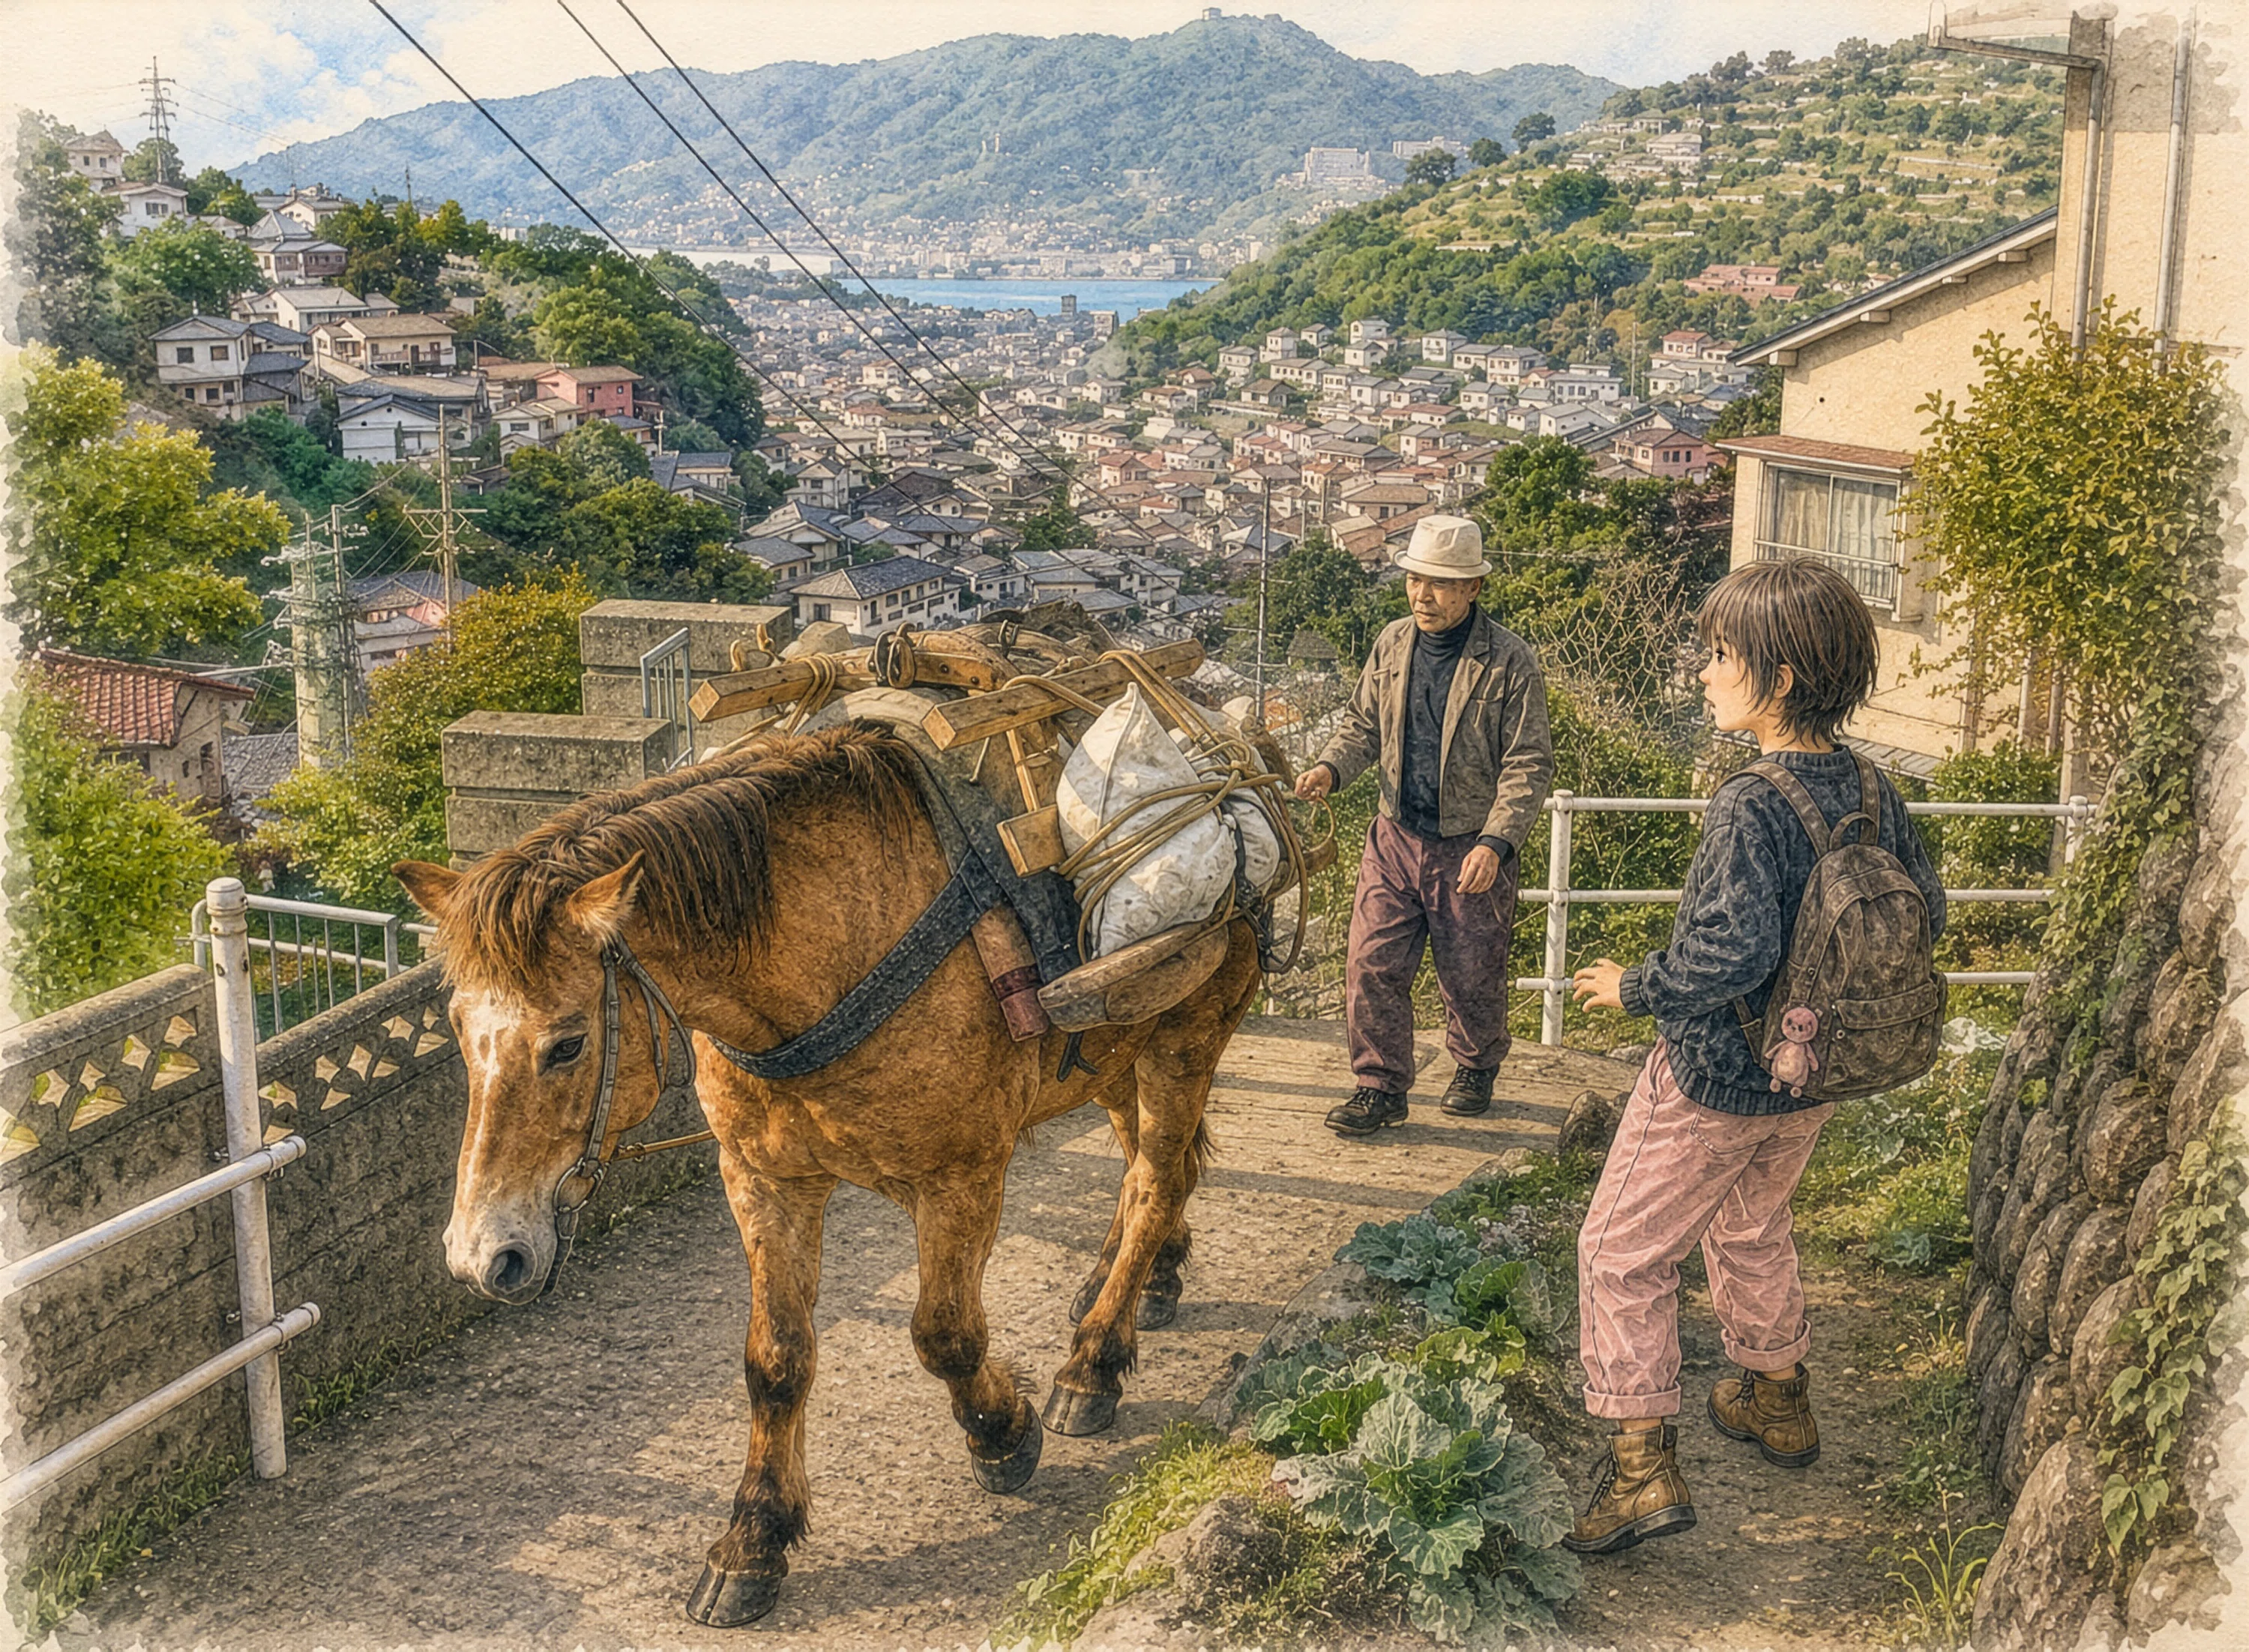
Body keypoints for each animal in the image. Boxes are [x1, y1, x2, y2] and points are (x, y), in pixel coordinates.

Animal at [394, 722, 1265, 1628]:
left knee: (1158, 1177)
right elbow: (775, 1360)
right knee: (1153, 1170)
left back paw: (1094, 1359)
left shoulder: (960, 1176)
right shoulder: (762, 1178)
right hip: (1115, 1048)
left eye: (566, 1043)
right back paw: (1139, 1281)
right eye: (456, 1024)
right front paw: (754, 1537)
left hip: (1186, 1034)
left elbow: (945, 1334)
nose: (483, 1254)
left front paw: (1002, 1431)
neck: (827, 949)